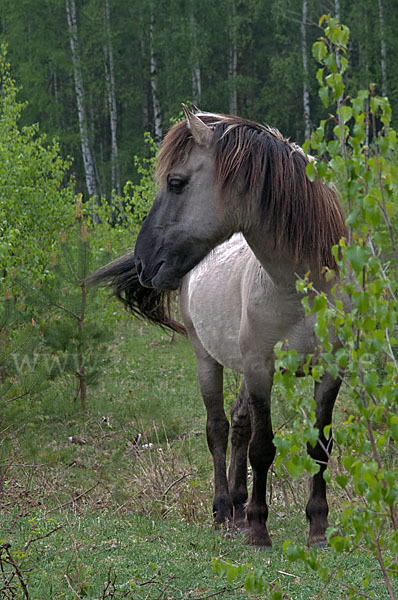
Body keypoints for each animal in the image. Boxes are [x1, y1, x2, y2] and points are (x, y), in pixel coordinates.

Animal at [89, 106, 346, 548]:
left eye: (176, 183)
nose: (143, 262)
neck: (299, 288)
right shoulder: (261, 369)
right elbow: (262, 448)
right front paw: (259, 529)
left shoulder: (328, 371)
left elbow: (319, 446)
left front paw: (317, 527)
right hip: (205, 357)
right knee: (219, 429)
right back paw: (225, 511)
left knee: (239, 424)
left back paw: (239, 506)